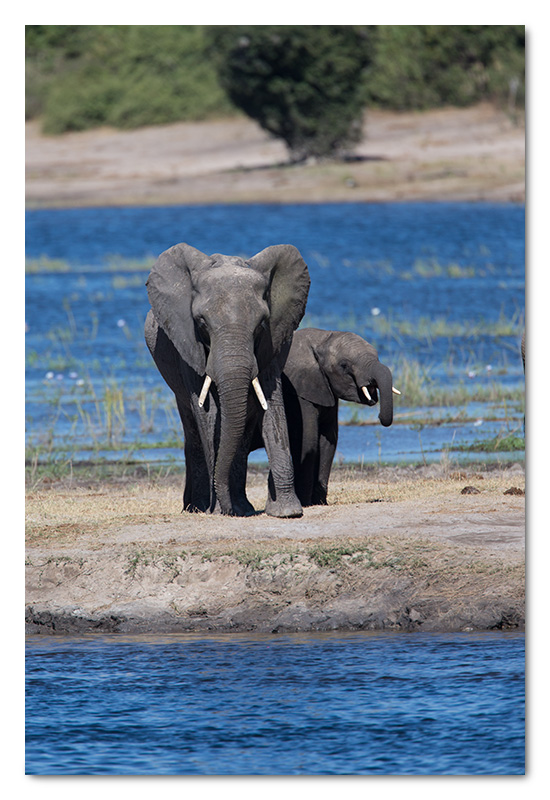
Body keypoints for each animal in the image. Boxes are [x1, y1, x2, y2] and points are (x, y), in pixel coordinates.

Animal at [146, 242, 310, 520]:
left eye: (261, 324)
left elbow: (272, 406)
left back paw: (240, 507)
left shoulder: (273, 342)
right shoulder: (187, 344)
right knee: (193, 429)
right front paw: (217, 511)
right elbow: (208, 413)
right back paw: (198, 507)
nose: (224, 509)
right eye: (201, 322)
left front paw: (287, 512)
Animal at [280, 330, 402, 506]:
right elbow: (308, 439)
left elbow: (328, 440)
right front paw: (305, 503)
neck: (321, 339)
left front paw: (320, 502)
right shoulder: (299, 391)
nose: (379, 415)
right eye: (344, 365)